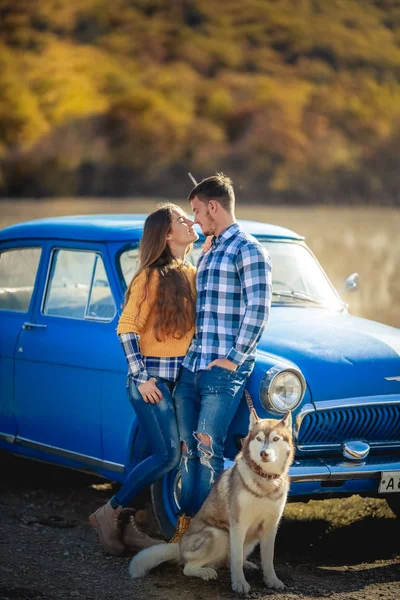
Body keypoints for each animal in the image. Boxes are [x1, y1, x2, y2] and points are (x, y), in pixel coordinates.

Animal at [130, 410, 296, 592]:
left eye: (275, 439)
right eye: (259, 439)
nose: (264, 453)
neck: (265, 481)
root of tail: (180, 545)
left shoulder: (271, 527)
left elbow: (268, 558)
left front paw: (272, 580)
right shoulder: (238, 524)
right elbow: (236, 558)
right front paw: (239, 583)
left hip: (251, 538)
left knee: (227, 561)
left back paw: (246, 565)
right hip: (219, 535)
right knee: (189, 567)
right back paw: (206, 572)